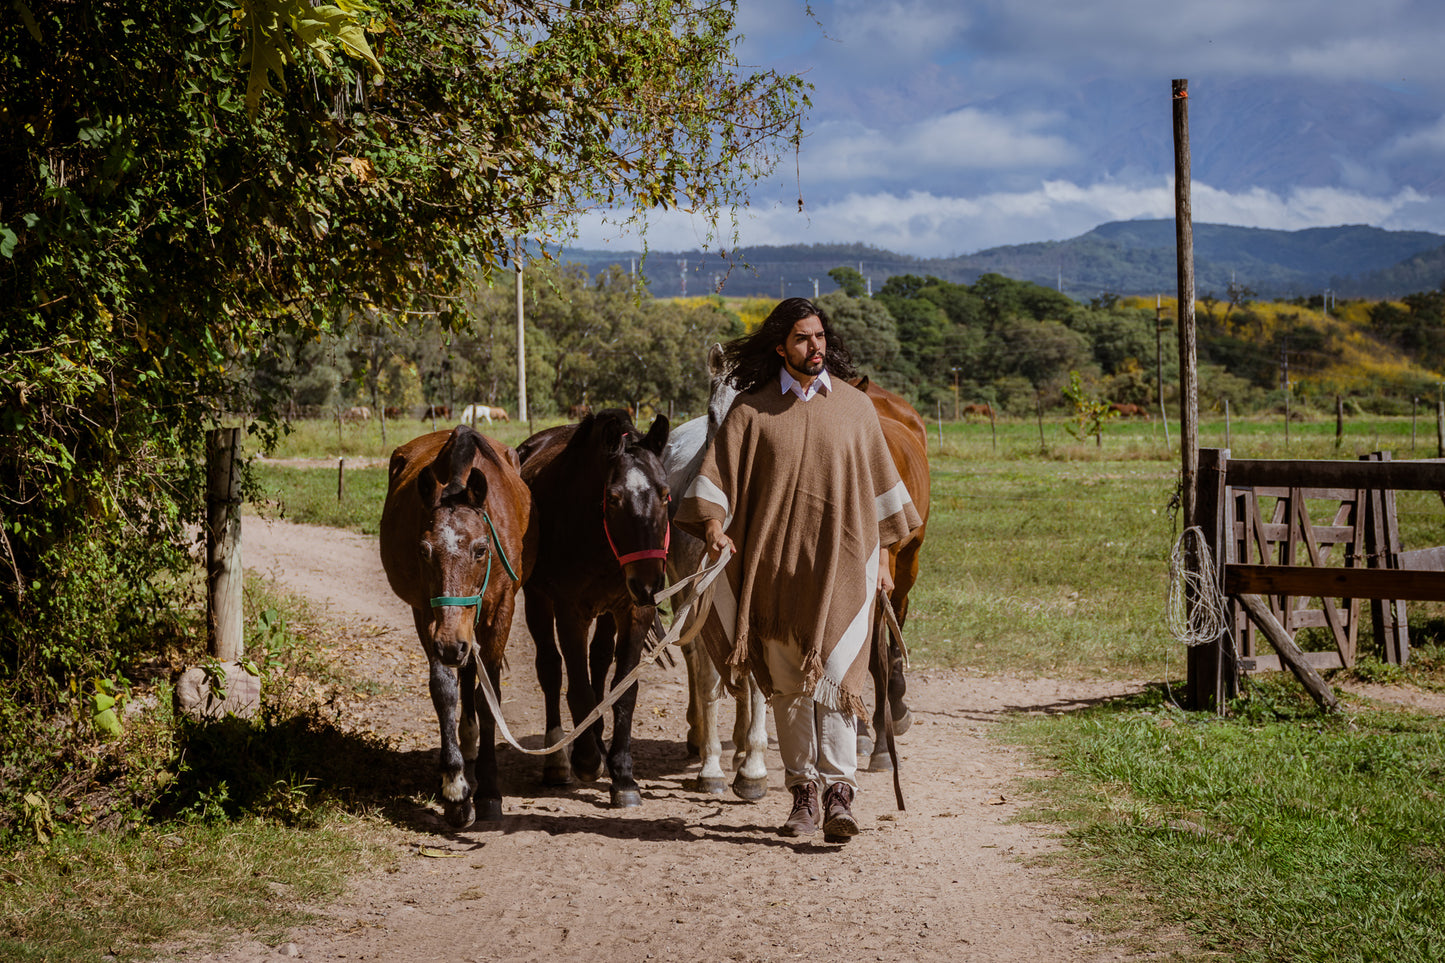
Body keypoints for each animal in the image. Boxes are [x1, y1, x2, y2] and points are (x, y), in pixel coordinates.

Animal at [381, 425, 540, 821]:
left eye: (481, 549)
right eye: (424, 550)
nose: (451, 645)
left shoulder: (500, 609)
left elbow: (488, 697)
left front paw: (490, 792)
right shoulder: (427, 614)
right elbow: (444, 690)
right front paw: (454, 788)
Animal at [520, 401, 670, 803]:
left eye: (665, 493)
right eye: (613, 498)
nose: (649, 582)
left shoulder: (635, 611)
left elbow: (623, 690)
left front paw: (623, 774)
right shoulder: (571, 613)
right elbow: (578, 688)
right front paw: (587, 760)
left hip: (609, 611)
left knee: (599, 661)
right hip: (537, 601)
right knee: (551, 670)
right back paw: (559, 761)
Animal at [667, 342, 780, 792]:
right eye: (715, 415)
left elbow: (755, 677)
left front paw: (753, 767)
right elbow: (708, 679)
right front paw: (711, 767)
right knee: (696, 663)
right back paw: (699, 737)